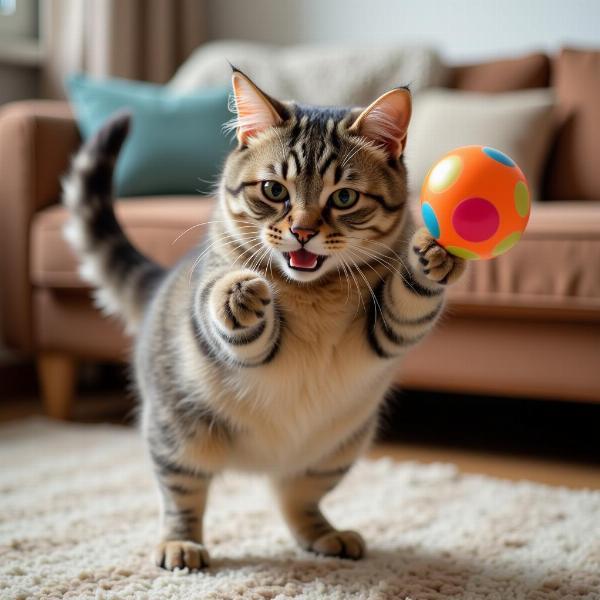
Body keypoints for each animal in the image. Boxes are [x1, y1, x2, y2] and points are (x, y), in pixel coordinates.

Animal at [64, 68, 468, 568]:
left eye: (344, 197)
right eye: (275, 190)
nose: (303, 231)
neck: (312, 290)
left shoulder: (388, 328)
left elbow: (409, 297)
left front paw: (432, 255)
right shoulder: (227, 319)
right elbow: (230, 308)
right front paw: (239, 292)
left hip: (333, 454)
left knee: (295, 501)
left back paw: (327, 536)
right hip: (179, 436)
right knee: (181, 499)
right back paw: (180, 544)